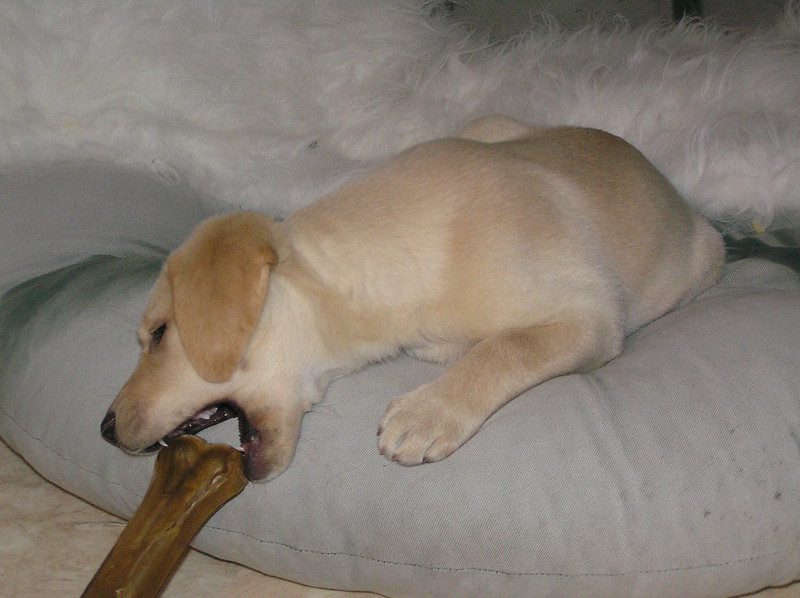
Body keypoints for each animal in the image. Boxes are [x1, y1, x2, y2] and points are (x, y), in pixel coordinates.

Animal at [101, 116, 724, 482]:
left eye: (159, 334)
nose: (104, 430)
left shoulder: (591, 313)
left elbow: (505, 348)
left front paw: (429, 412)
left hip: (702, 263)